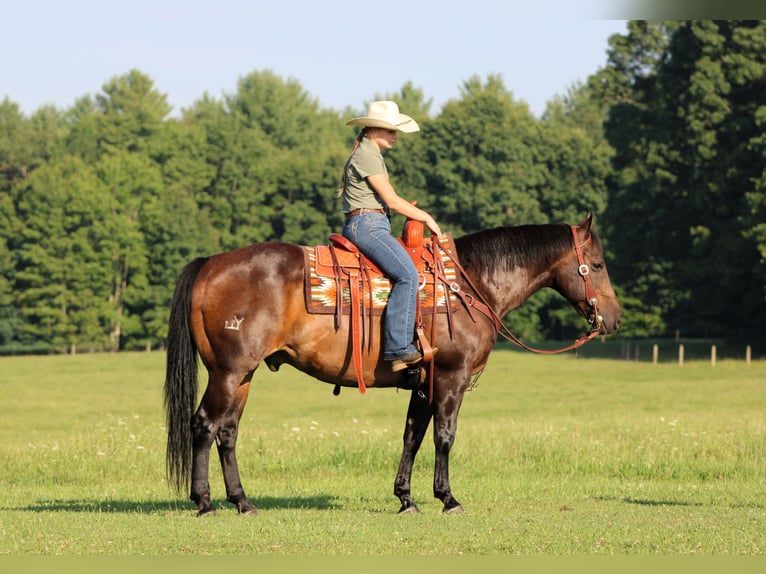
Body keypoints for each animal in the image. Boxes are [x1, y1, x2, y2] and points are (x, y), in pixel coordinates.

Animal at [164, 212, 621, 516]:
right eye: (597, 265)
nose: (614, 319)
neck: (468, 283)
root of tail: (210, 263)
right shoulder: (450, 379)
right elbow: (444, 437)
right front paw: (448, 498)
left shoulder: (423, 382)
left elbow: (412, 437)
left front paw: (406, 498)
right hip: (228, 373)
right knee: (204, 425)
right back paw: (204, 502)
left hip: (243, 376)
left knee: (227, 432)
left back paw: (242, 501)